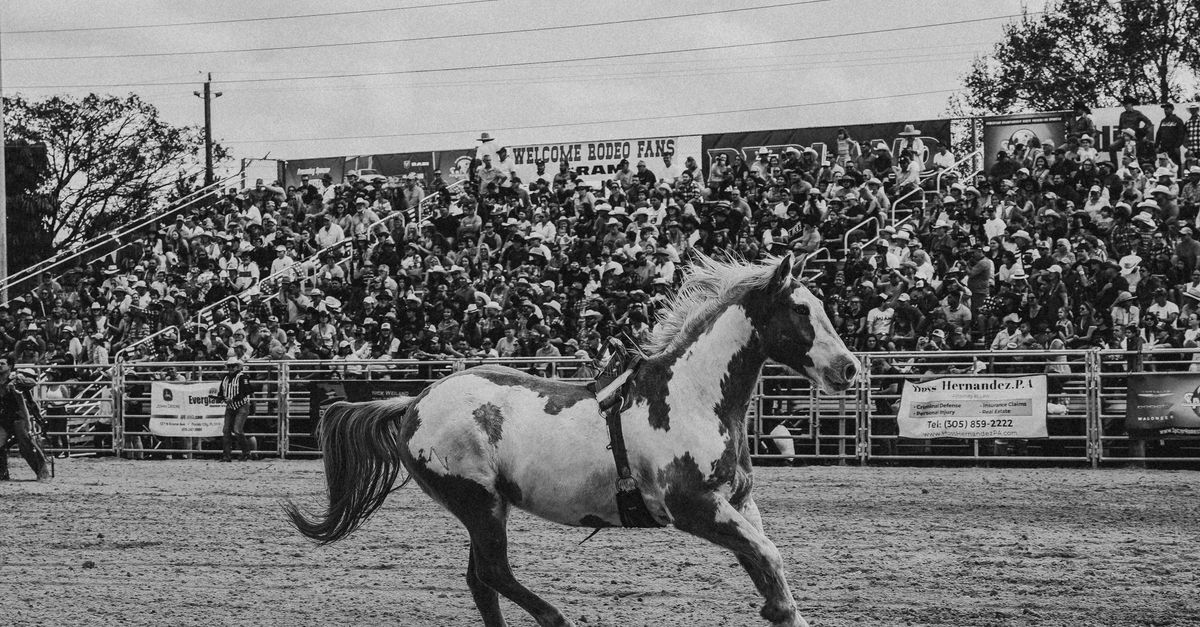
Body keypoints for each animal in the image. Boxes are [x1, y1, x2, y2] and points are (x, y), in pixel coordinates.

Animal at [285, 252, 858, 627]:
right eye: (801, 310)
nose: (849, 368)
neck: (692, 394)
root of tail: (413, 403)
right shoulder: (693, 507)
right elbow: (769, 556)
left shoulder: (736, 502)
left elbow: (765, 561)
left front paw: (780, 609)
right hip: (477, 502)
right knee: (493, 572)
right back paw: (556, 618)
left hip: (486, 507)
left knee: (480, 580)